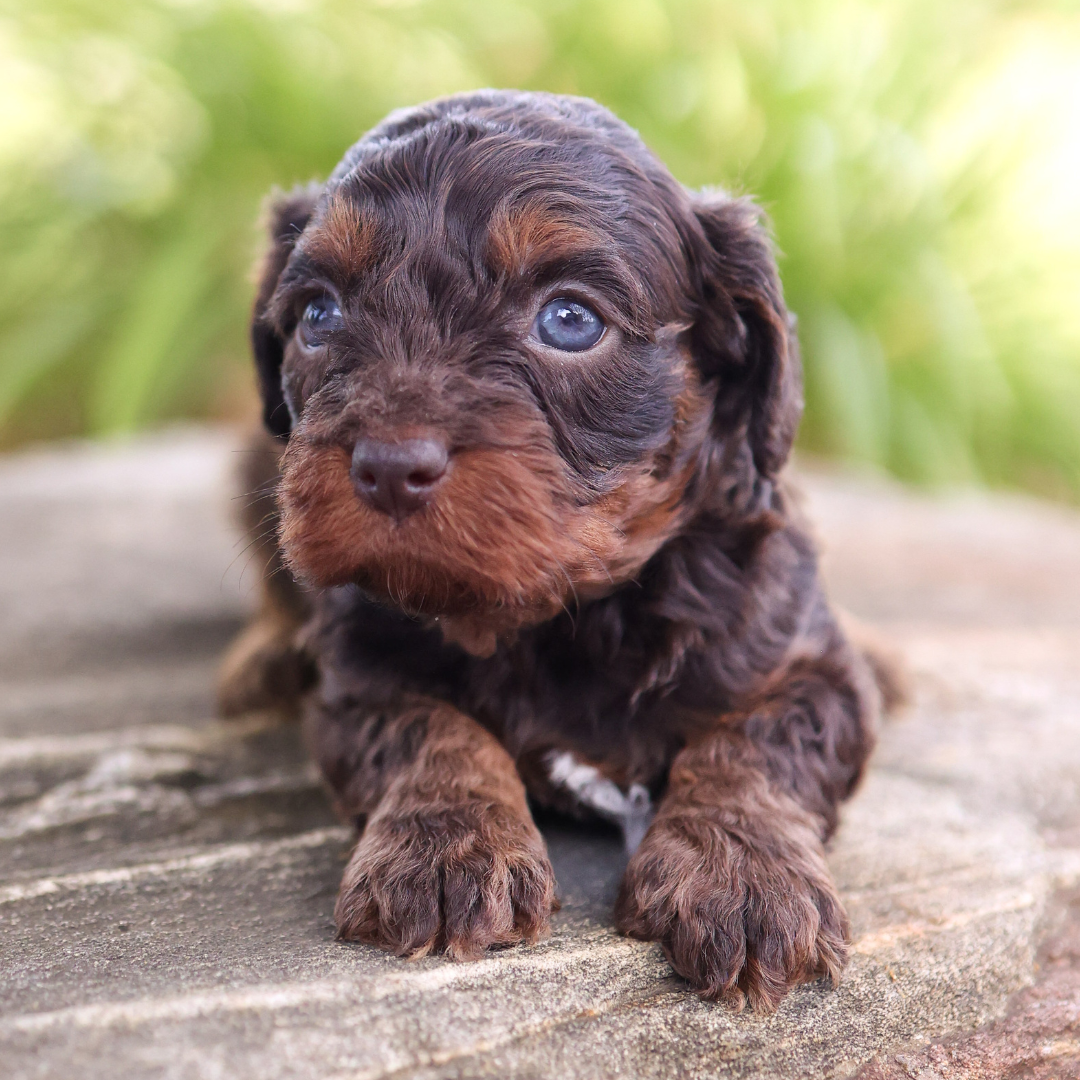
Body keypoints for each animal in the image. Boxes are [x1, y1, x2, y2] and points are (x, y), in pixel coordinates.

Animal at [221, 92, 885, 1010]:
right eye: (319, 314)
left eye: (570, 320)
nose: (388, 466)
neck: (561, 616)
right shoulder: (356, 676)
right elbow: (430, 727)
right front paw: (447, 846)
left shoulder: (809, 665)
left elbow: (757, 742)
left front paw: (746, 873)